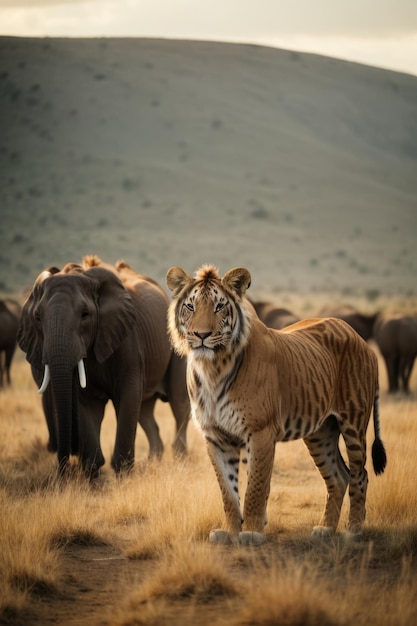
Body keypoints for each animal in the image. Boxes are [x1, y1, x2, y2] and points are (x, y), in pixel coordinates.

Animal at [17, 256, 189, 476]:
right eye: (37, 317)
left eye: (85, 314)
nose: (63, 471)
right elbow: (86, 403)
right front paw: (93, 478)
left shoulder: (128, 339)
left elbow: (128, 395)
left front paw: (124, 478)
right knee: (145, 412)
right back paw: (153, 464)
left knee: (179, 405)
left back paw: (180, 461)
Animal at [164, 260, 386, 544]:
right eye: (190, 306)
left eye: (219, 306)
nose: (201, 335)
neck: (211, 369)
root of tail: (358, 336)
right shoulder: (215, 436)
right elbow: (228, 491)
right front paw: (229, 531)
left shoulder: (260, 432)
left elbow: (255, 487)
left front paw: (251, 532)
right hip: (320, 432)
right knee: (338, 477)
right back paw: (325, 529)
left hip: (353, 422)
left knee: (360, 474)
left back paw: (353, 530)